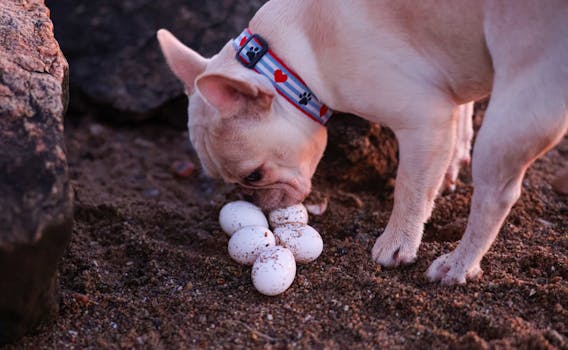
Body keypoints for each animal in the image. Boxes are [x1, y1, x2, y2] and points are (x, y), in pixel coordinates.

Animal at [156, 0, 568, 284]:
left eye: (254, 176)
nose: (251, 200)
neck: (287, 62)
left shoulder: (426, 119)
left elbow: (411, 189)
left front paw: (398, 243)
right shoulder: (453, 90)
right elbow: (463, 113)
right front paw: (451, 165)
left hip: (514, 113)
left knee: (494, 197)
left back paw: (457, 265)